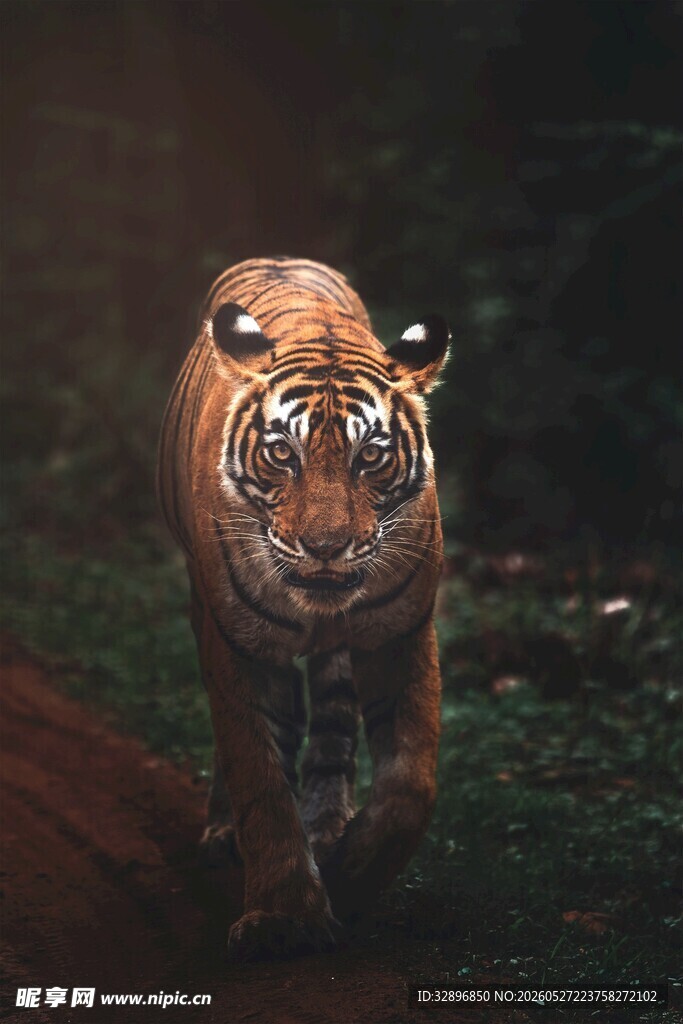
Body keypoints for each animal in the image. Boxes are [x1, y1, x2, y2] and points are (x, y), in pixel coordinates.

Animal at [157, 256, 449, 961]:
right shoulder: (235, 642)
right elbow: (258, 772)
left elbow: (410, 784)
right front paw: (283, 917)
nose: (324, 547)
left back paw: (326, 828)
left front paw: (349, 875)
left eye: (370, 456)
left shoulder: (401, 631)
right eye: (281, 453)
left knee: (333, 720)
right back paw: (226, 836)